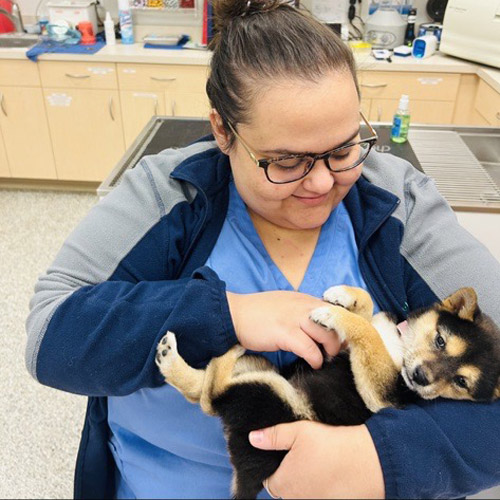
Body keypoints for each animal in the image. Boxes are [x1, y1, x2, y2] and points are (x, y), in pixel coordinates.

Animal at [154, 288, 498, 498]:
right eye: (440, 341)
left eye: (461, 382)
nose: (419, 378)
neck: (400, 347)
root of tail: (245, 466)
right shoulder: (361, 353)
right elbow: (369, 317)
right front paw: (346, 296)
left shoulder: (382, 394)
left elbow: (366, 333)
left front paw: (336, 315)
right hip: (263, 370)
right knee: (199, 391)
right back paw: (172, 358)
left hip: (275, 395)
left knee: (210, 398)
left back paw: (223, 353)